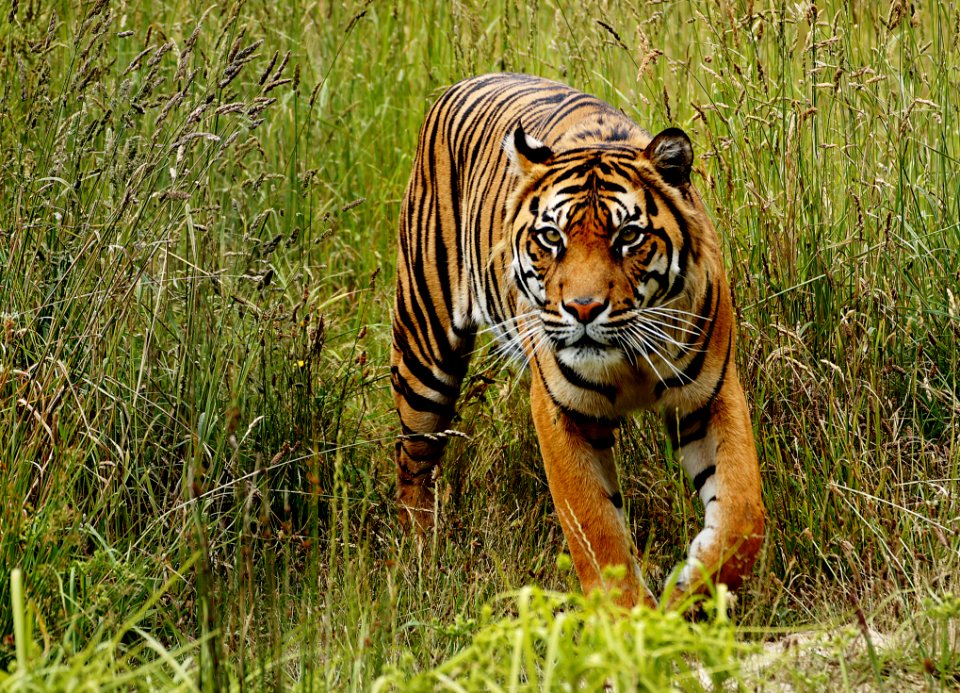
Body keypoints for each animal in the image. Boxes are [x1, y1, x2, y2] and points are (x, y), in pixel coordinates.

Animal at [390, 73, 764, 608]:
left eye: (628, 237)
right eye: (552, 237)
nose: (583, 309)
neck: (629, 358)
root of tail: (462, 83)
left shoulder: (709, 395)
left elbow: (743, 514)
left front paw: (690, 591)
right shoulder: (561, 411)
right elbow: (596, 529)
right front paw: (631, 620)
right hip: (424, 352)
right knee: (413, 460)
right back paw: (421, 555)